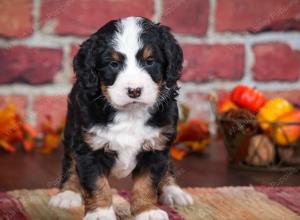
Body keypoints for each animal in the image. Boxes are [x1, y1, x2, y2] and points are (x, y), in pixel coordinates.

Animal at [49, 16, 192, 219]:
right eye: (113, 64)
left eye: (149, 61)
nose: (134, 90)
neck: (130, 114)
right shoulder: (89, 148)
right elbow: (97, 185)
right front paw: (100, 213)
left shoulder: (156, 147)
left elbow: (147, 184)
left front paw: (147, 211)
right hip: (71, 129)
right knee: (70, 159)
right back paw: (68, 193)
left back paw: (173, 191)